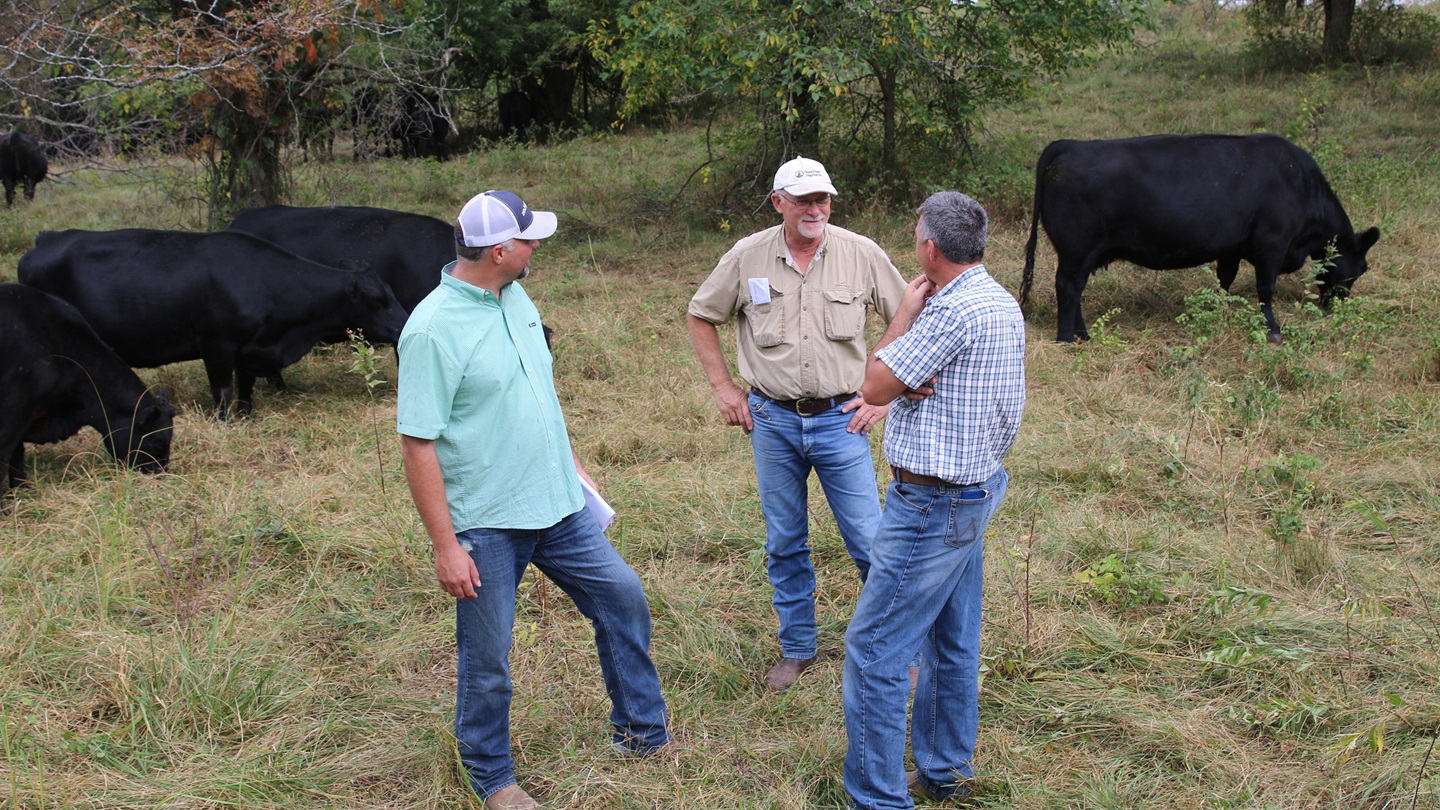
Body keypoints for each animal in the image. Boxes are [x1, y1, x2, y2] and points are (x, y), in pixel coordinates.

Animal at [0, 283, 174, 498]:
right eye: (158, 443)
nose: (159, 479)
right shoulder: (13, 416)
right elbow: (7, 458)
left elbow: (16, 457)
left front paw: (21, 492)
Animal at [19, 227, 408, 415]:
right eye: (378, 300)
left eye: (391, 292)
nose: (405, 323)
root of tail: (47, 237)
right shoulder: (217, 346)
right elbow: (223, 391)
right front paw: (225, 420)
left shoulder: (251, 348)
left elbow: (246, 386)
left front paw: (246, 415)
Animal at [1019, 134, 1376, 341]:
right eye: (1362, 268)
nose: (1336, 306)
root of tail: (1071, 144)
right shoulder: (1272, 244)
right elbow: (1266, 289)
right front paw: (1273, 330)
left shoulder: (1233, 247)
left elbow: (1225, 281)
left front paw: (1217, 311)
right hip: (1076, 250)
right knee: (1068, 288)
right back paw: (1068, 339)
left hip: (1084, 254)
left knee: (1076, 290)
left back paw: (1084, 335)